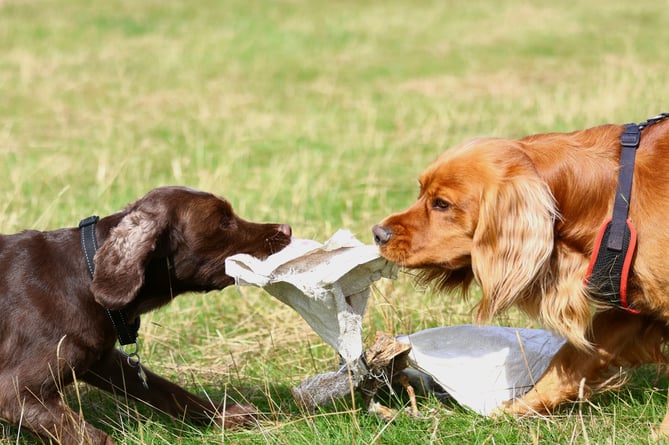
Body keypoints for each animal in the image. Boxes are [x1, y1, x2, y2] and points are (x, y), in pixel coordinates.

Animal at [374, 119, 668, 430]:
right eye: (421, 192)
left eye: (442, 204)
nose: (378, 233)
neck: (617, 195)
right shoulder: (631, 310)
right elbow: (569, 359)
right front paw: (512, 410)